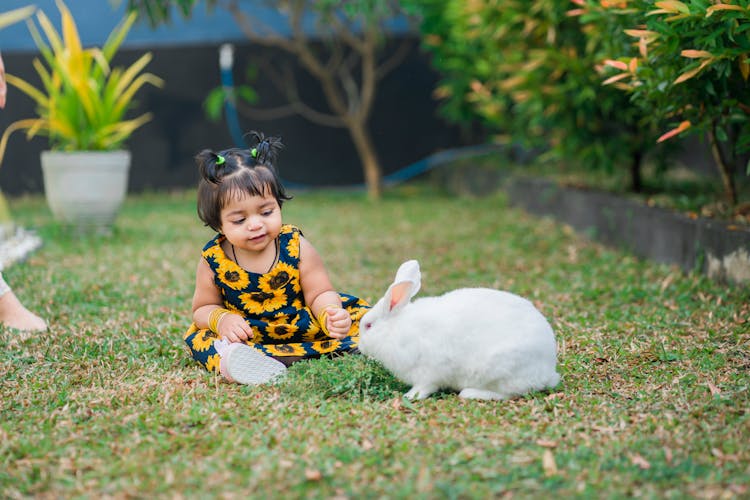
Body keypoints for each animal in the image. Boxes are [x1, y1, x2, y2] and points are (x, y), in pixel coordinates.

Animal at [360, 260, 564, 400]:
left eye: (369, 326)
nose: (360, 347)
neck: (394, 329)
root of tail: (548, 372)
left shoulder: (429, 371)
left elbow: (425, 387)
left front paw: (410, 396)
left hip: (499, 369)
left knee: (510, 393)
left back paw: (469, 393)